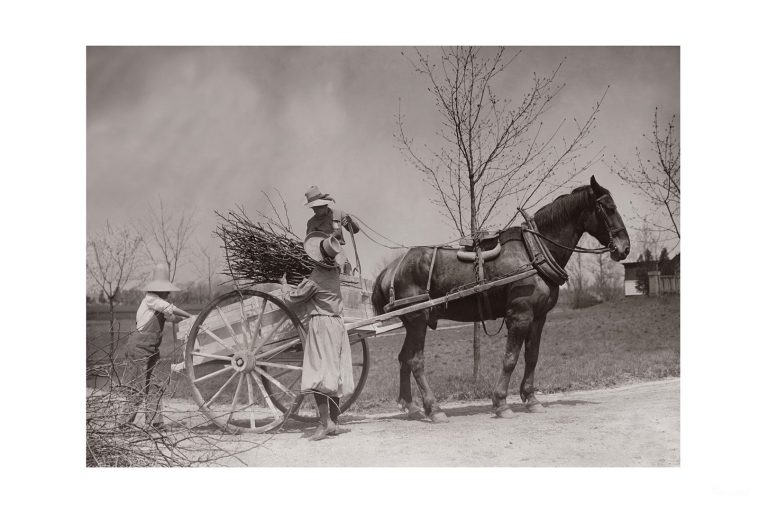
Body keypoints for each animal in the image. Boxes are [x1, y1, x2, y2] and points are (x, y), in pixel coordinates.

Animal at [372, 175, 632, 420]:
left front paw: (531, 399)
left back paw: (410, 406)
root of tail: (392, 269)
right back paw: (433, 409)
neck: (532, 252)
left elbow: (532, 357)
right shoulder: (520, 315)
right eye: (608, 207)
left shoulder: (538, 318)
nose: (625, 248)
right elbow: (510, 358)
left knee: (404, 358)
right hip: (418, 320)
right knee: (416, 361)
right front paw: (501, 403)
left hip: (412, 323)